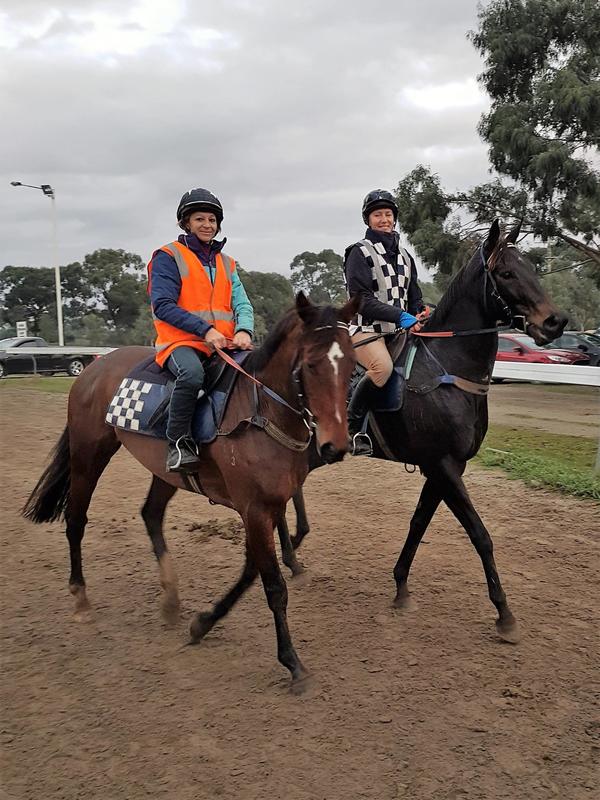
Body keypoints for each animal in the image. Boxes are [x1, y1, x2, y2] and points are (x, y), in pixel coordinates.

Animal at [23, 293, 359, 689]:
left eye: (352, 362)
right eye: (311, 364)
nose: (335, 445)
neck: (260, 413)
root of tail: (94, 367)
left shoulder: (270, 505)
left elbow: (252, 571)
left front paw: (203, 623)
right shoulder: (254, 509)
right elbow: (274, 586)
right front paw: (292, 662)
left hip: (164, 473)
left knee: (150, 514)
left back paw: (170, 598)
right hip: (88, 453)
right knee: (76, 519)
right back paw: (81, 598)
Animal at [277, 220, 567, 643]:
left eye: (532, 266)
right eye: (506, 273)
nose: (554, 322)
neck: (447, 370)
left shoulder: (446, 467)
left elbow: (418, 523)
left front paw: (400, 587)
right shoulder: (442, 464)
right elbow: (480, 534)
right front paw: (504, 614)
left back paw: (294, 553)